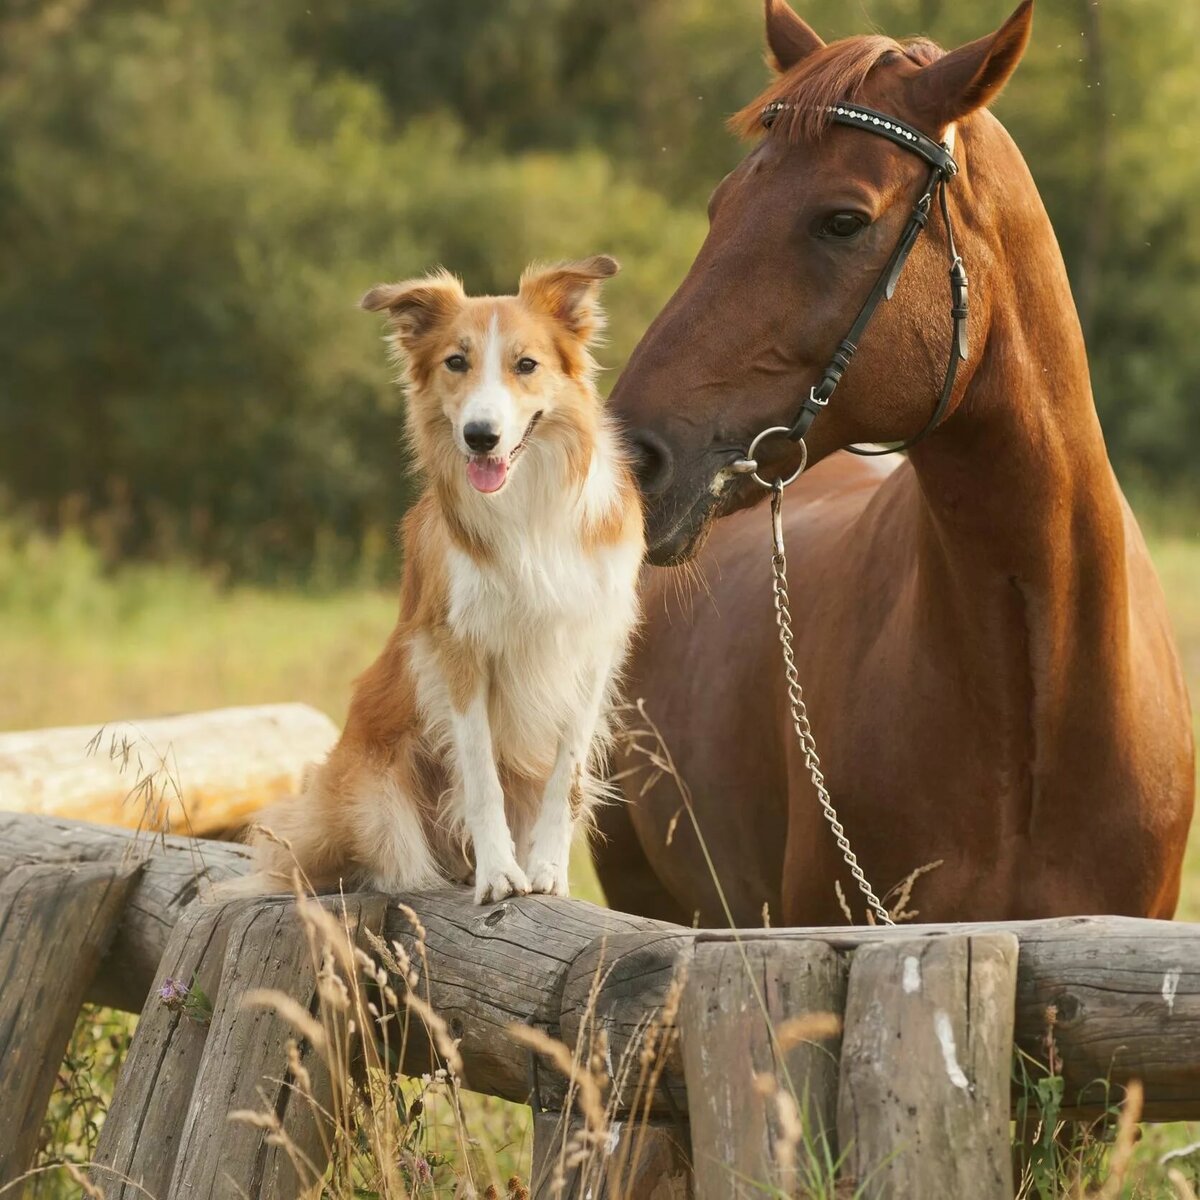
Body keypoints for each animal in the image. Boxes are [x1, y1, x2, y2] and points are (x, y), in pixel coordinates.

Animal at [240, 258, 648, 902]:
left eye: (526, 365)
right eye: (456, 362)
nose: (480, 435)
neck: (527, 506)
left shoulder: (592, 646)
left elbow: (567, 772)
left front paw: (547, 870)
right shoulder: (457, 649)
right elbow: (480, 776)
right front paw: (499, 873)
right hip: (375, 798)